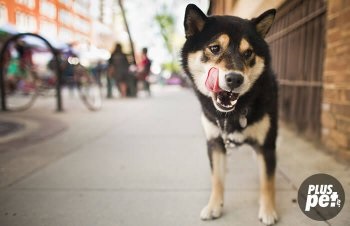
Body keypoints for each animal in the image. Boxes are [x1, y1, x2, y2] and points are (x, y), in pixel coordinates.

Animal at [182, 3, 278, 226]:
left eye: (248, 52)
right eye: (215, 48)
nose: (234, 79)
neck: (233, 114)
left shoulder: (267, 145)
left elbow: (267, 181)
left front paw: (268, 210)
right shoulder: (215, 142)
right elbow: (216, 178)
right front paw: (214, 206)